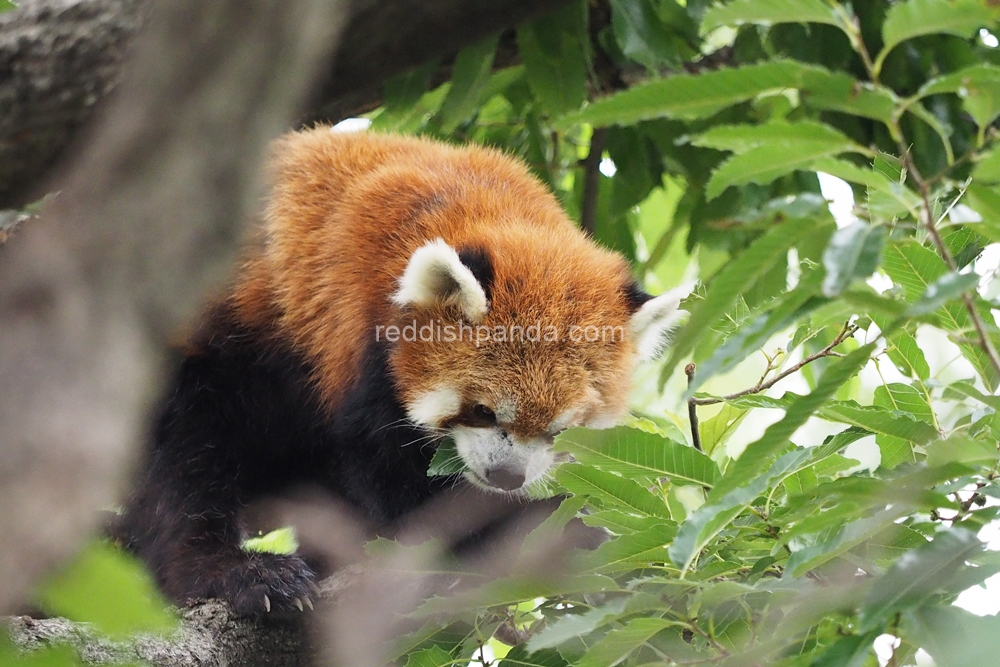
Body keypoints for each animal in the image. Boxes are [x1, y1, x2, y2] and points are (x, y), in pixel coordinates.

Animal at [117, 129, 688, 616]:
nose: (507, 477)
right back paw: (233, 573)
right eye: (483, 411)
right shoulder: (351, 328)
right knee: (188, 461)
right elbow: (391, 475)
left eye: (559, 430)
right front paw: (547, 528)